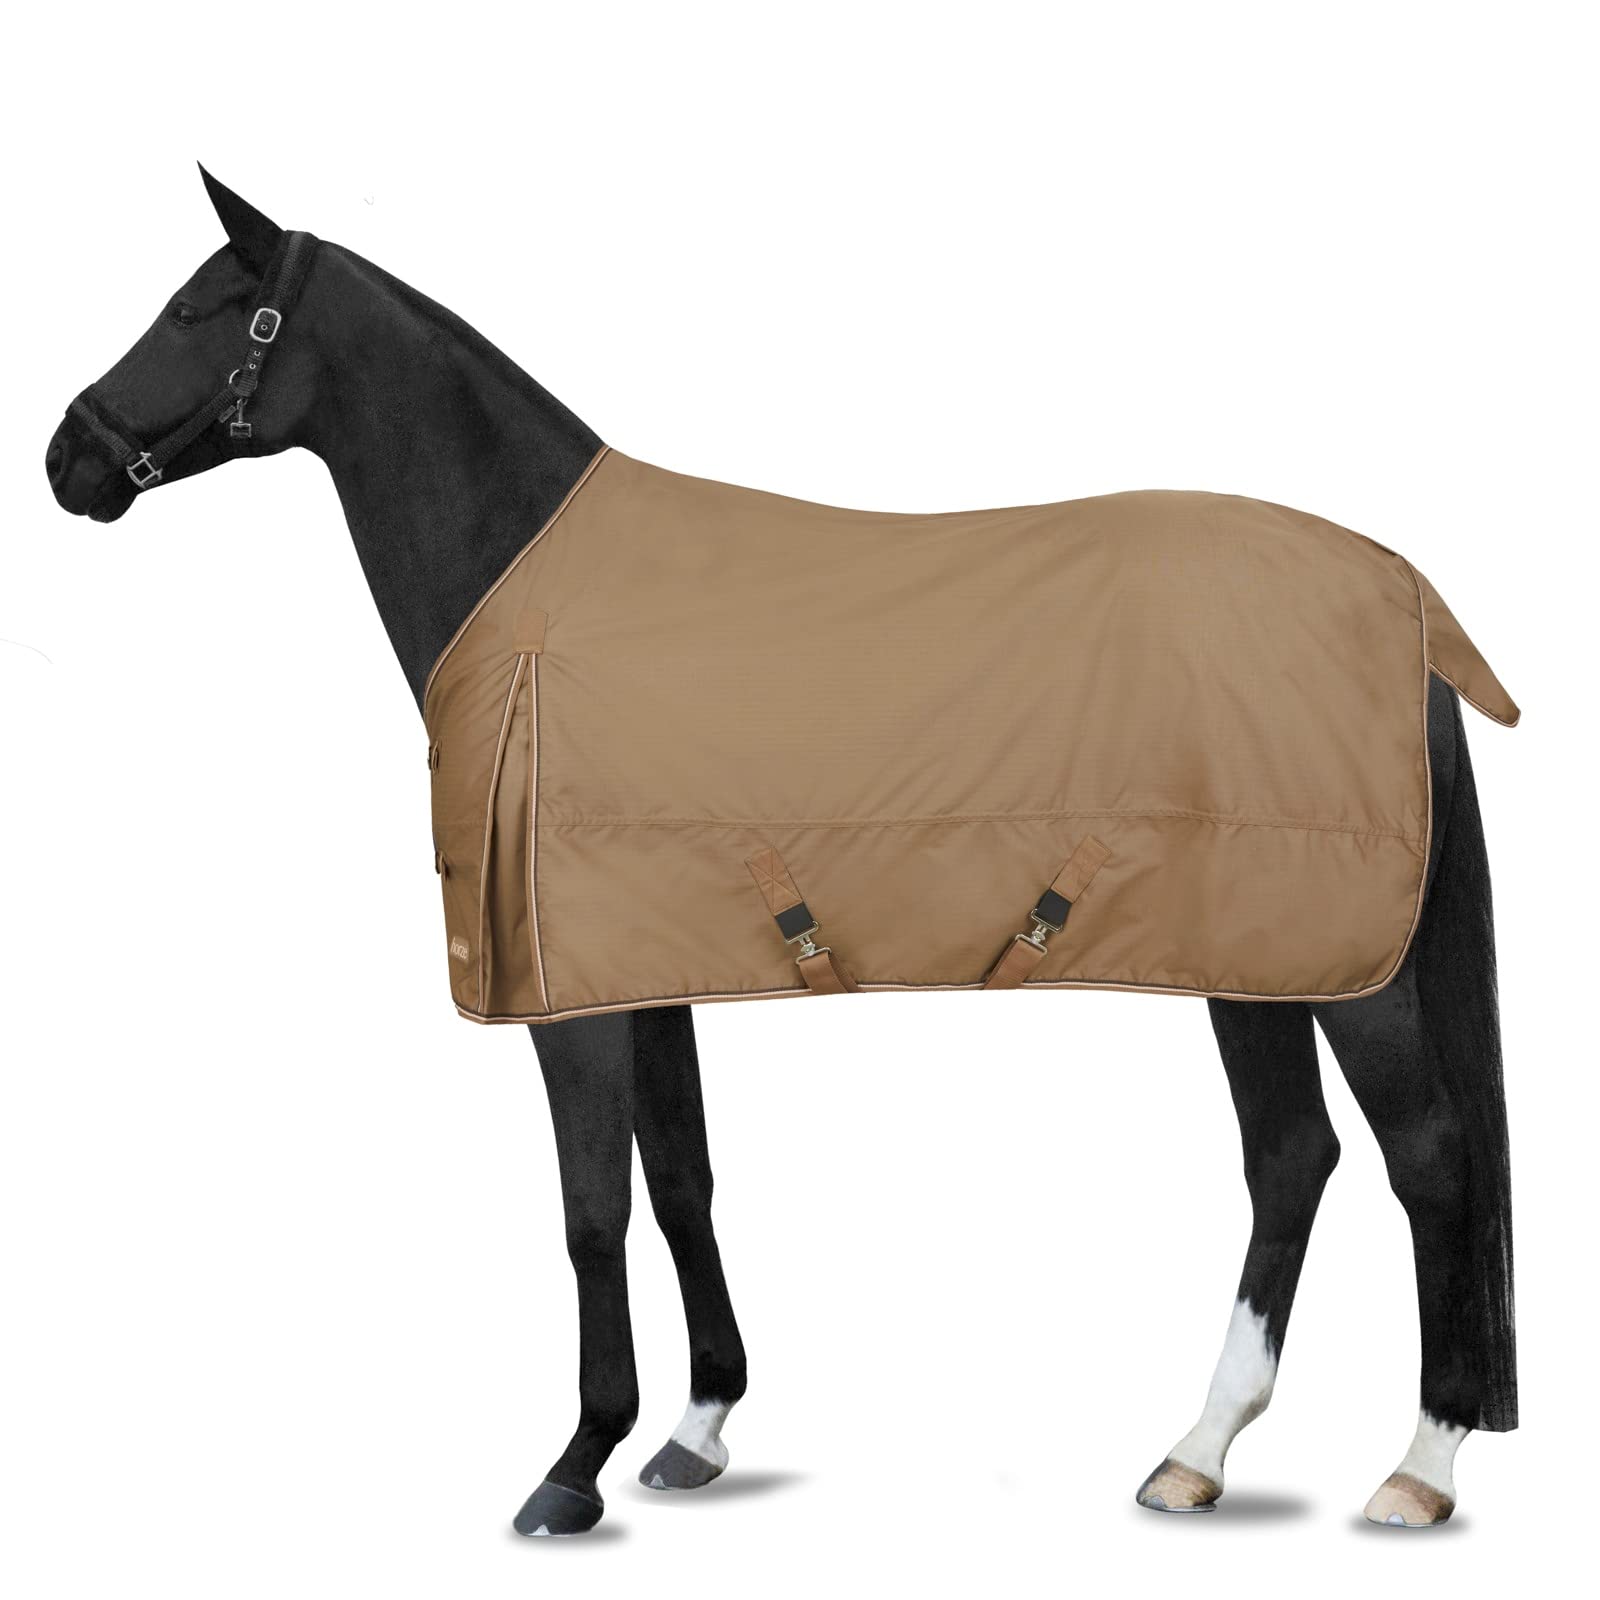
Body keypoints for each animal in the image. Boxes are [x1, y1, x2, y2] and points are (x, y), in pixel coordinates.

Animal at [44, 168, 1517, 1536]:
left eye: (198, 310)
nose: (68, 459)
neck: (537, 602)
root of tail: (1407, 602)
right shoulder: (643, 970)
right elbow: (682, 1181)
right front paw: (693, 1430)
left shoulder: (566, 997)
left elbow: (591, 1210)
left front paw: (573, 1466)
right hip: (1253, 951)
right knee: (1291, 1160)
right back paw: (1197, 1452)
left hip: (1348, 970)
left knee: (1429, 1154)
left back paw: (1420, 1467)